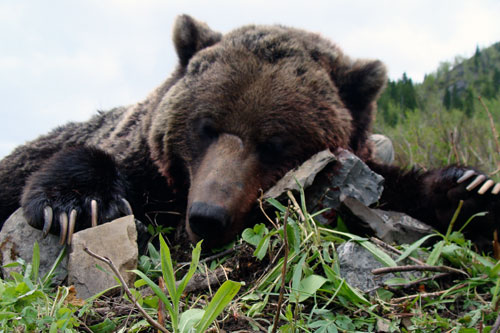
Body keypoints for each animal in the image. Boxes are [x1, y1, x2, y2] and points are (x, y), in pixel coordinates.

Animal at [0, 16, 498, 249]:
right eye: (204, 127)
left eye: (276, 144)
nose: (206, 215)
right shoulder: (142, 157)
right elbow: (93, 158)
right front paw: (77, 204)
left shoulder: (360, 168)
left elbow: (393, 189)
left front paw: (473, 188)